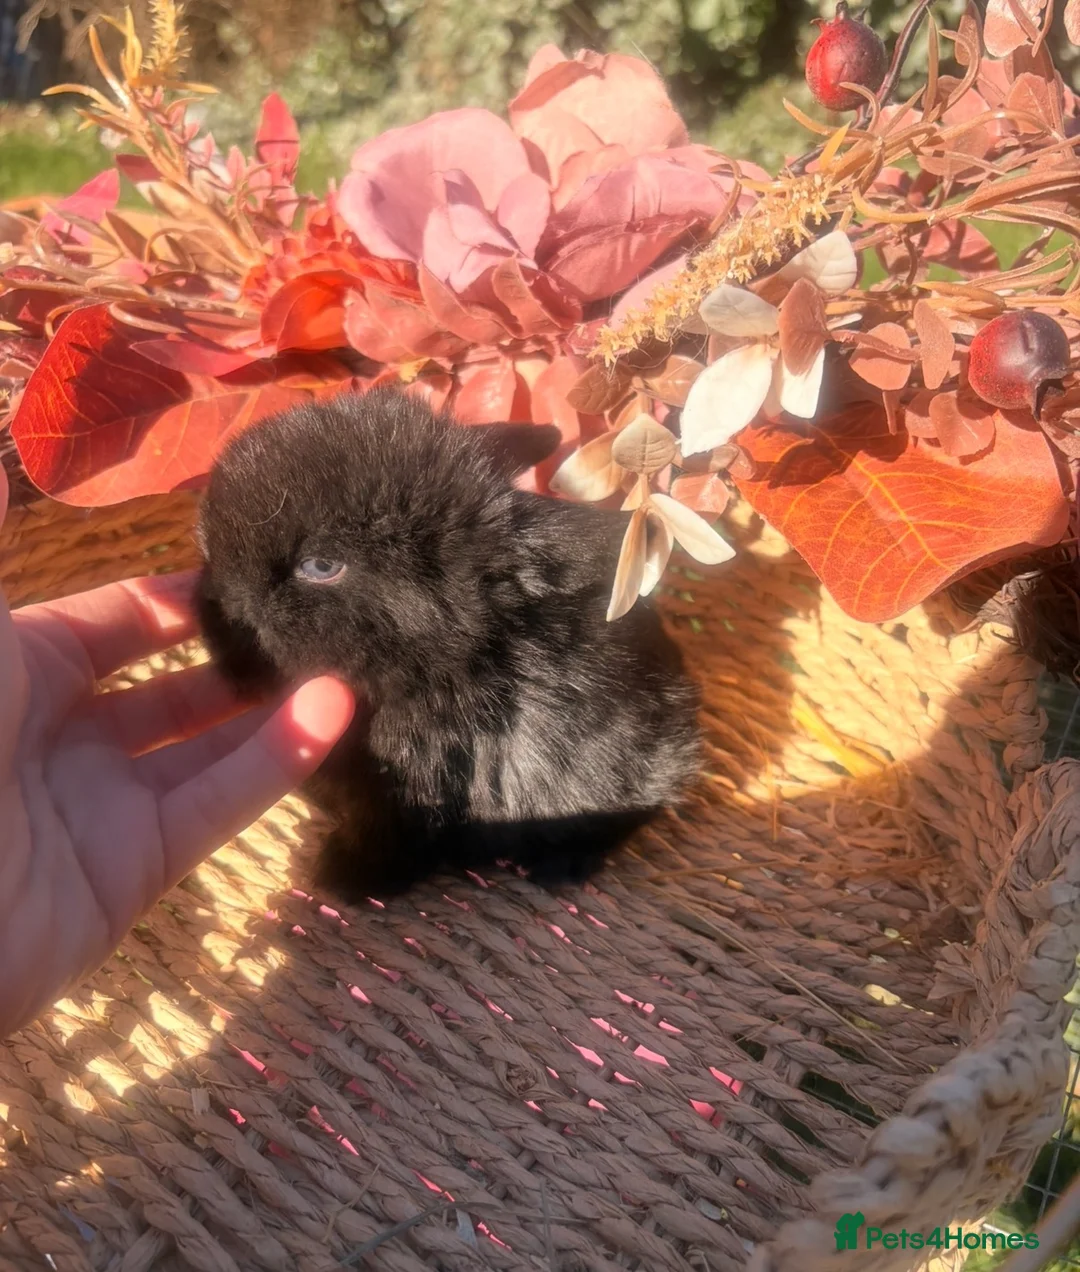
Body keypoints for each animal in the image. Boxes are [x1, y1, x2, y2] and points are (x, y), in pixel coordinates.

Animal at [195, 386, 702, 901]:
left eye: (321, 566)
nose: (210, 604)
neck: (443, 664)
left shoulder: (415, 796)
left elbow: (392, 845)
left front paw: (338, 880)